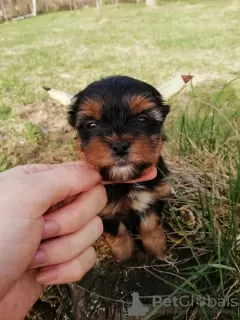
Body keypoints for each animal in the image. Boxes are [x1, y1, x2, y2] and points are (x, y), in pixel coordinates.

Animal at [68, 76, 172, 262]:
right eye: (92, 125)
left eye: (142, 119)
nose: (120, 146)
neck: (126, 181)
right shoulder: (104, 210)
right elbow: (118, 233)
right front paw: (124, 257)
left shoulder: (153, 196)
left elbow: (151, 225)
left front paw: (157, 249)